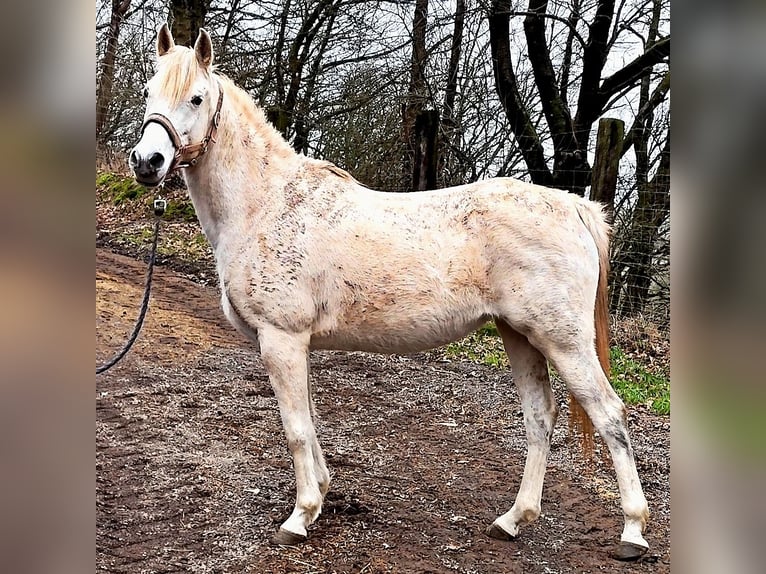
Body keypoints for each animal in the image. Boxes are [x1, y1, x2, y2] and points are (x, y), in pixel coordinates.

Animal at [129, 25, 652, 564]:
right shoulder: (295, 346)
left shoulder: (281, 339)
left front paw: (299, 517)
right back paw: (512, 520)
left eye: (196, 97)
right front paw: (320, 497)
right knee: (539, 418)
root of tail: (574, 207)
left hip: (563, 341)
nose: (147, 162)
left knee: (610, 415)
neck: (265, 203)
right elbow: (310, 421)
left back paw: (632, 531)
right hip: (519, 335)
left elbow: (295, 429)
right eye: (149, 91)